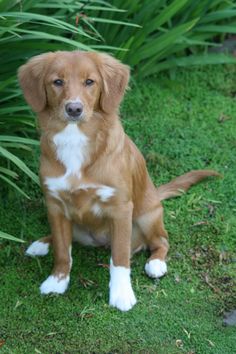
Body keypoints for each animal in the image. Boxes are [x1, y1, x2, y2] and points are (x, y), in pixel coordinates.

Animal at [18, 51, 218, 312]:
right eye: (57, 82)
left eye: (90, 82)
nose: (74, 109)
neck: (75, 139)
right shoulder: (55, 205)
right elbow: (63, 250)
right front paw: (57, 281)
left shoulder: (120, 209)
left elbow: (120, 258)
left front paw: (121, 293)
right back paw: (41, 244)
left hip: (147, 216)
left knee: (161, 240)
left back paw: (156, 263)